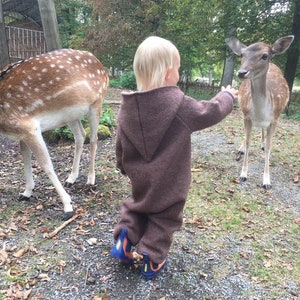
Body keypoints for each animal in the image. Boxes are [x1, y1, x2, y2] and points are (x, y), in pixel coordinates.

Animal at [0, 48, 110, 218]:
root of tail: (100, 64)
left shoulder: (28, 127)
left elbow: (46, 164)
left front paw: (67, 206)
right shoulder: (21, 131)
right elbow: (25, 158)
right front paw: (26, 193)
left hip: (97, 102)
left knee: (94, 138)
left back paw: (90, 179)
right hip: (70, 114)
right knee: (80, 136)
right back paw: (71, 178)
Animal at [226, 35, 294, 190]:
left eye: (264, 56)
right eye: (242, 55)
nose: (241, 72)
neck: (260, 112)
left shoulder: (275, 119)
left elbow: (269, 147)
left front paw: (267, 181)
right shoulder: (246, 116)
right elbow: (248, 141)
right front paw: (243, 174)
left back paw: (262, 144)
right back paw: (241, 149)